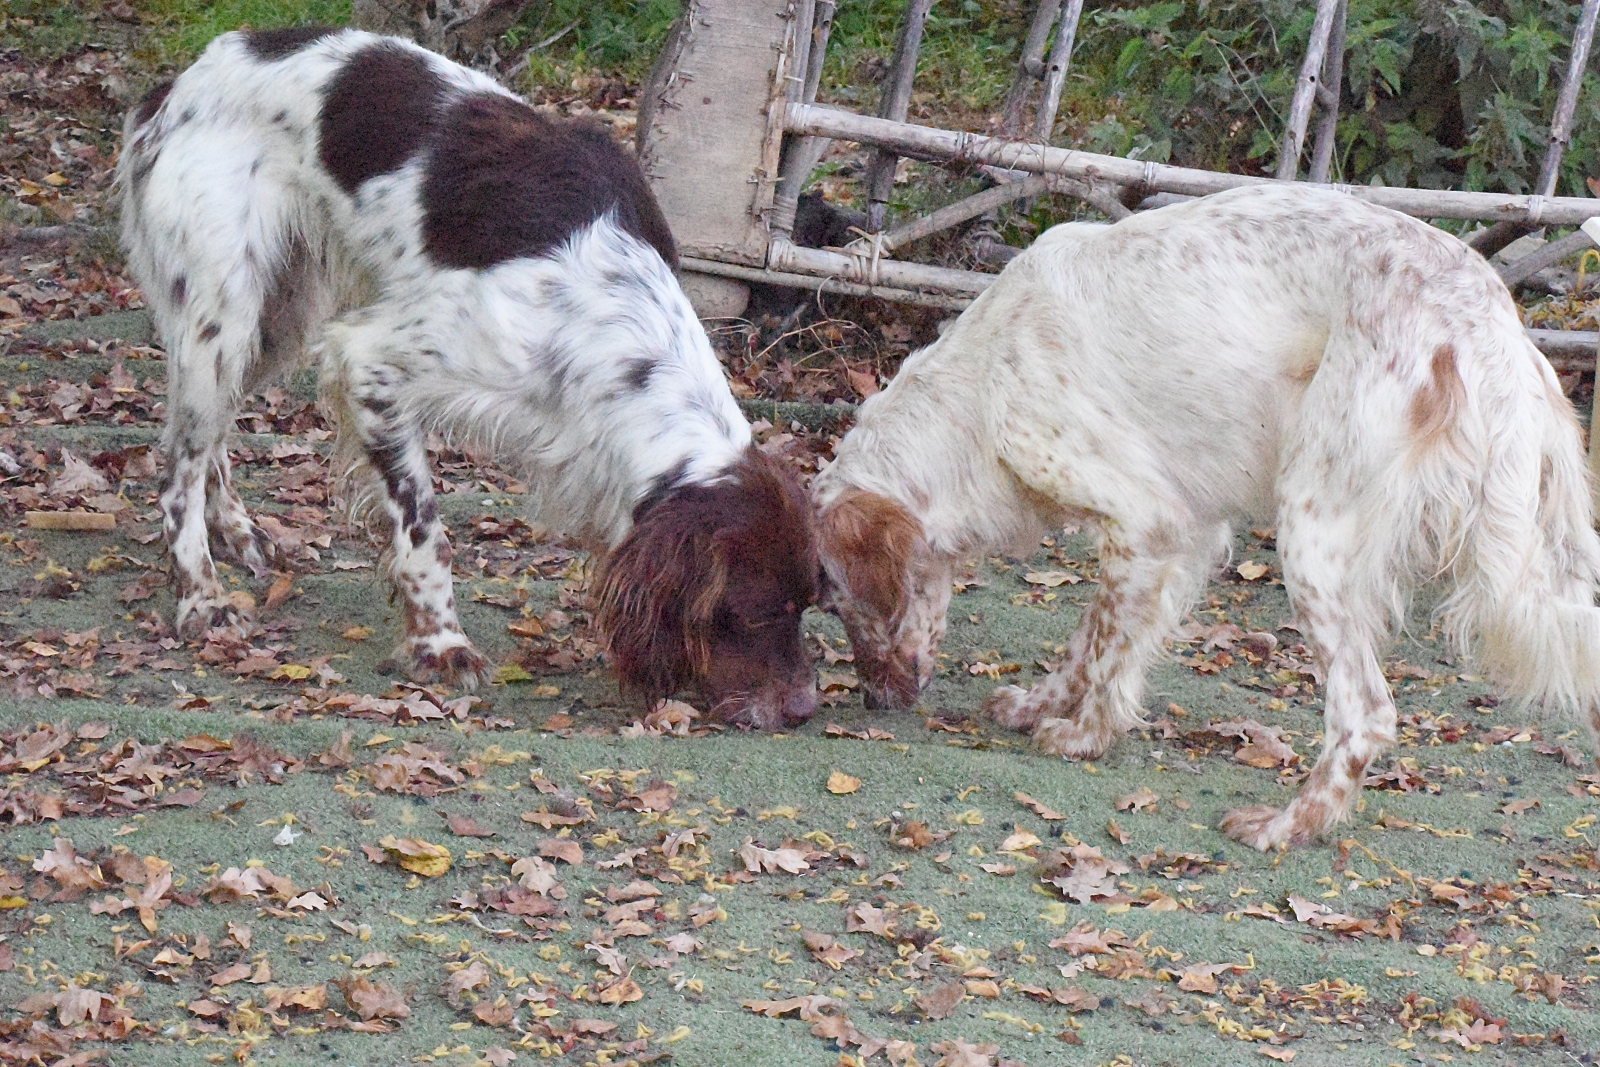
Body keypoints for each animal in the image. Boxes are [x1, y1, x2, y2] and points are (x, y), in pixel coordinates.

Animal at [118, 27, 819, 728]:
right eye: (758, 612)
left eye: (811, 605)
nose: (806, 708)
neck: (608, 314)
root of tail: (183, 79)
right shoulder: (372, 364)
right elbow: (425, 531)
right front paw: (440, 643)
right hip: (225, 316)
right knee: (180, 465)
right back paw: (200, 594)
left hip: (275, 320)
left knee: (211, 437)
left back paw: (237, 530)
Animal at [813, 183, 1600, 849]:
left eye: (841, 604)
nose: (876, 702)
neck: (980, 390)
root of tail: (1488, 317)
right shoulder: (1183, 532)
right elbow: (1093, 639)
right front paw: (1043, 704)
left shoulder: (1143, 519)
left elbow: (1104, 643)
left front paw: (1084, 734)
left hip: (1309, 530)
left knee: (1365, 712)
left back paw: (1286, 824)